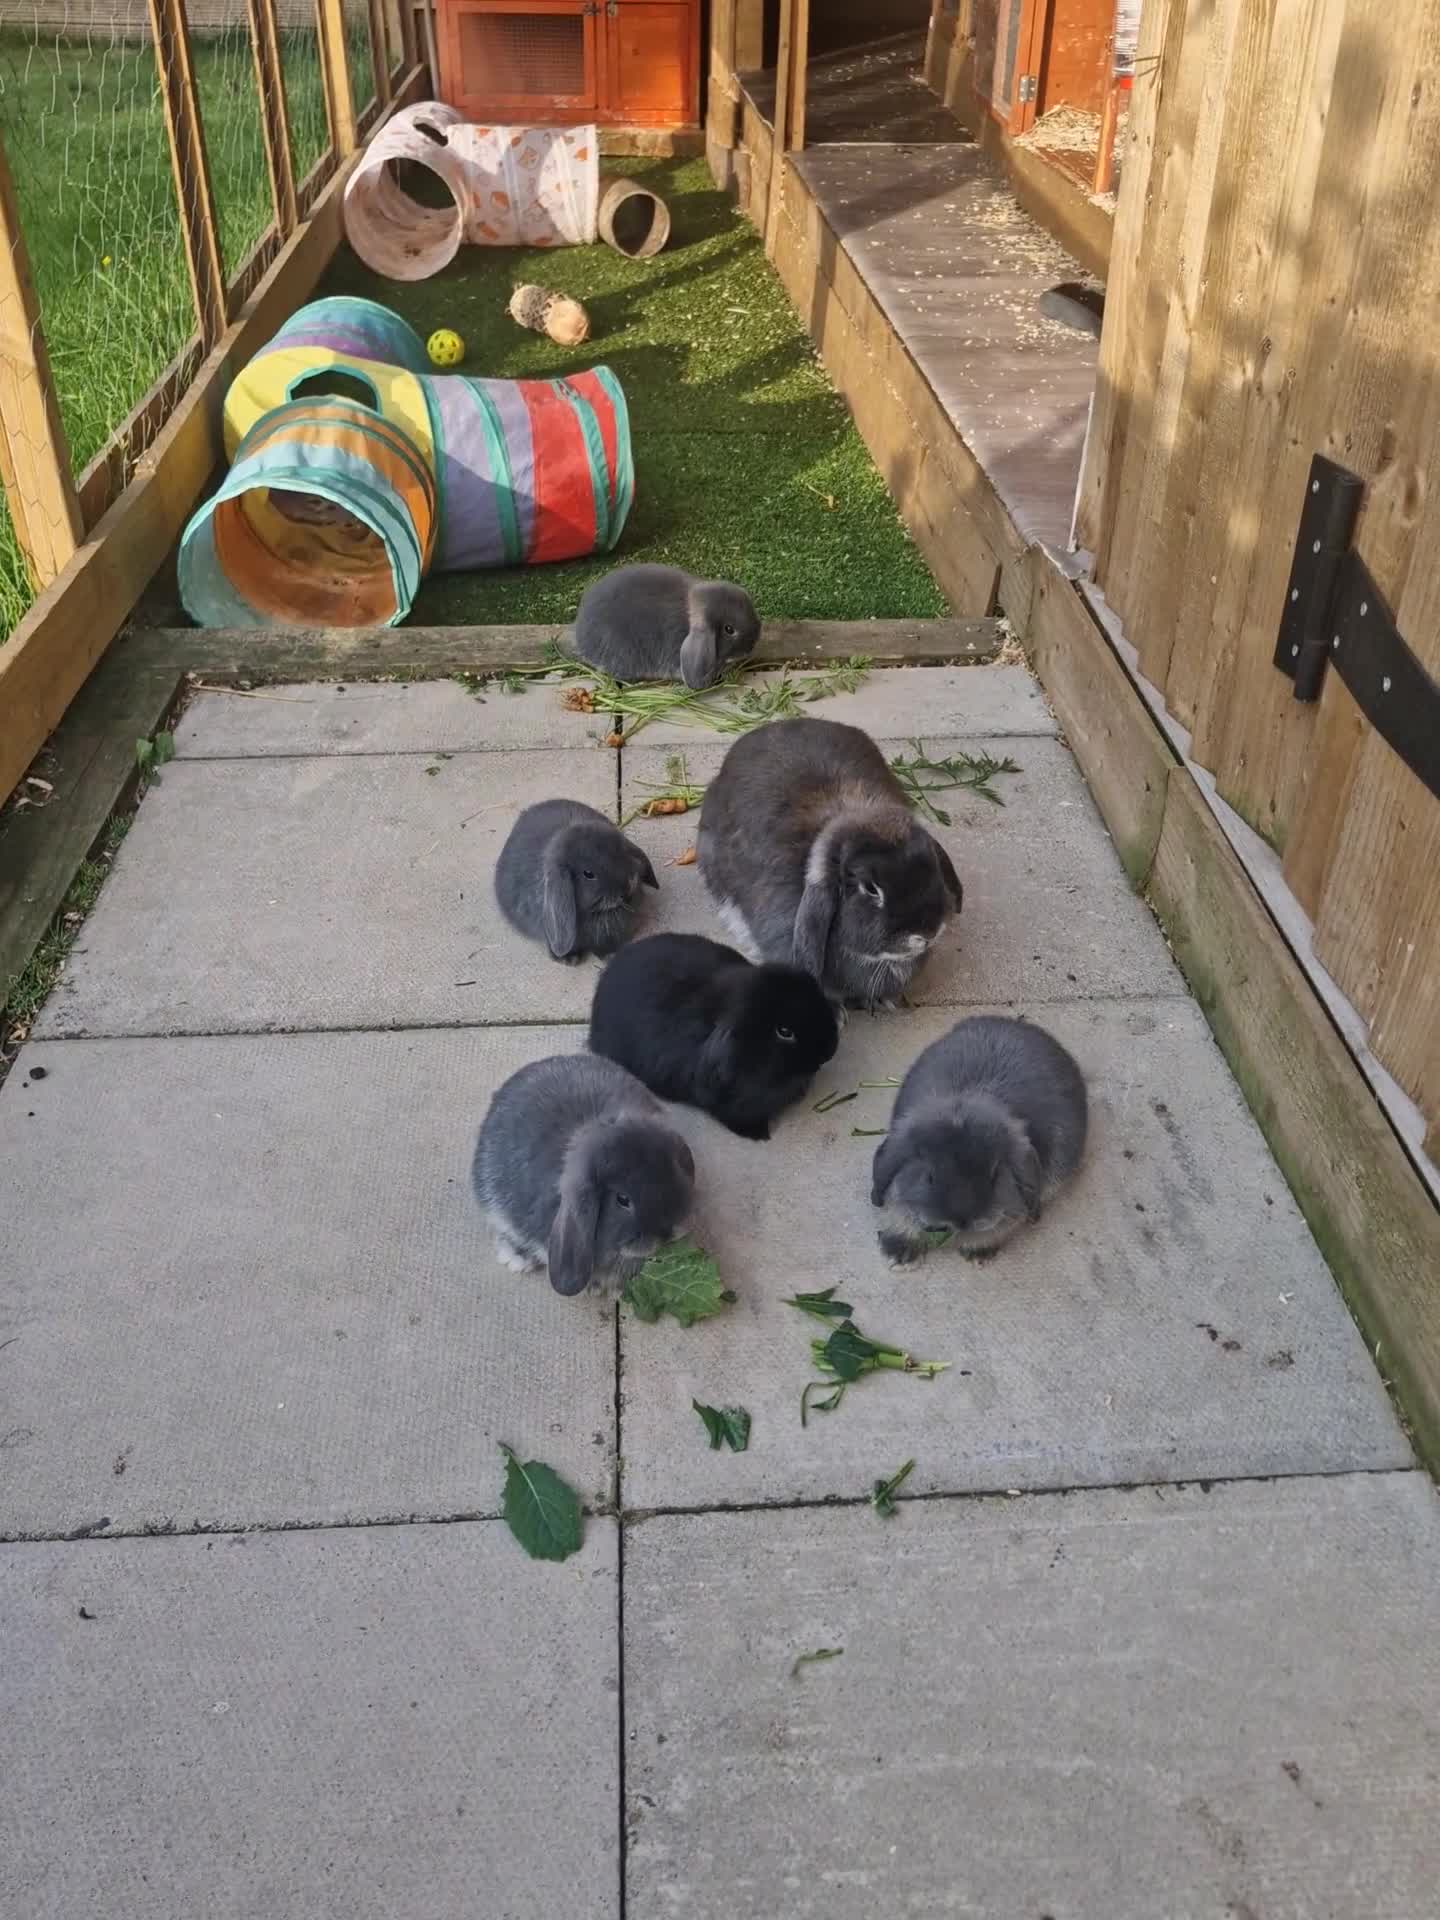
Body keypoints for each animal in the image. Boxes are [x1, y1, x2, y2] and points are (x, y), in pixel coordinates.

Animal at [495, 798, 658, 962]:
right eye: (588, 874)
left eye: (622, 851)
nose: (628, 886)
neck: (598, 912)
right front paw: (568, 959)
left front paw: (610, 955)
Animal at [870, 1015, 1087, 1265]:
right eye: (929, 1176)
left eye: (995, 1175)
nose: (962, 1219)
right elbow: (897, 1213)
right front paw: (898, 1254)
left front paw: (977, 1254)